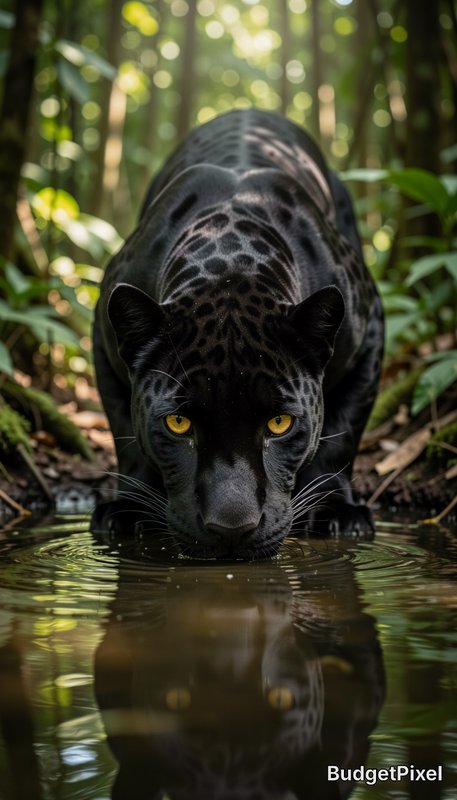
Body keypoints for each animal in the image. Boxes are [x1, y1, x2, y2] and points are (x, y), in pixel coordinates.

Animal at [91, 108, 384, 559]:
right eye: (178, 424)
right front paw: (128, 510)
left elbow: (341, 438)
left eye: (280, 424)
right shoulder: (104, 340)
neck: (230, 263)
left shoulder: (369, 336)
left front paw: (337, 510)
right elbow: (127, 437)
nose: (232, 527)